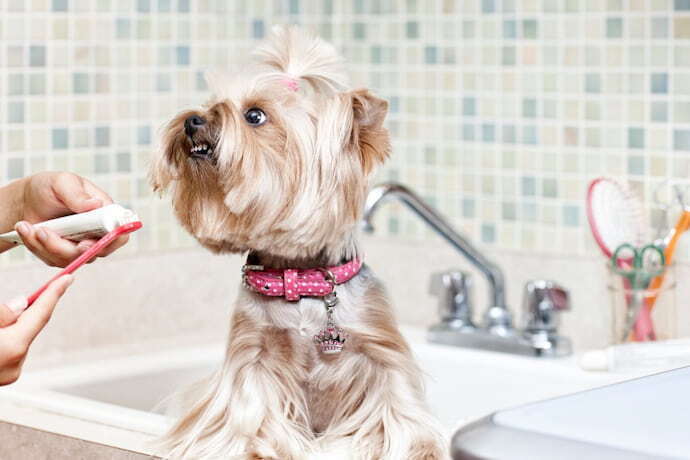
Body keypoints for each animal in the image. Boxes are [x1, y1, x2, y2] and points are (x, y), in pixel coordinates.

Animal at [149, 26, 446, 460]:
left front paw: (416, 448)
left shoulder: (380, 352)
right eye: (209, 103)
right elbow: (252, 413)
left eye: (254, 115)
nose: (191, 119)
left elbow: (395, 410)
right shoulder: (253, 356)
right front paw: (260, 448)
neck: (301, 279)